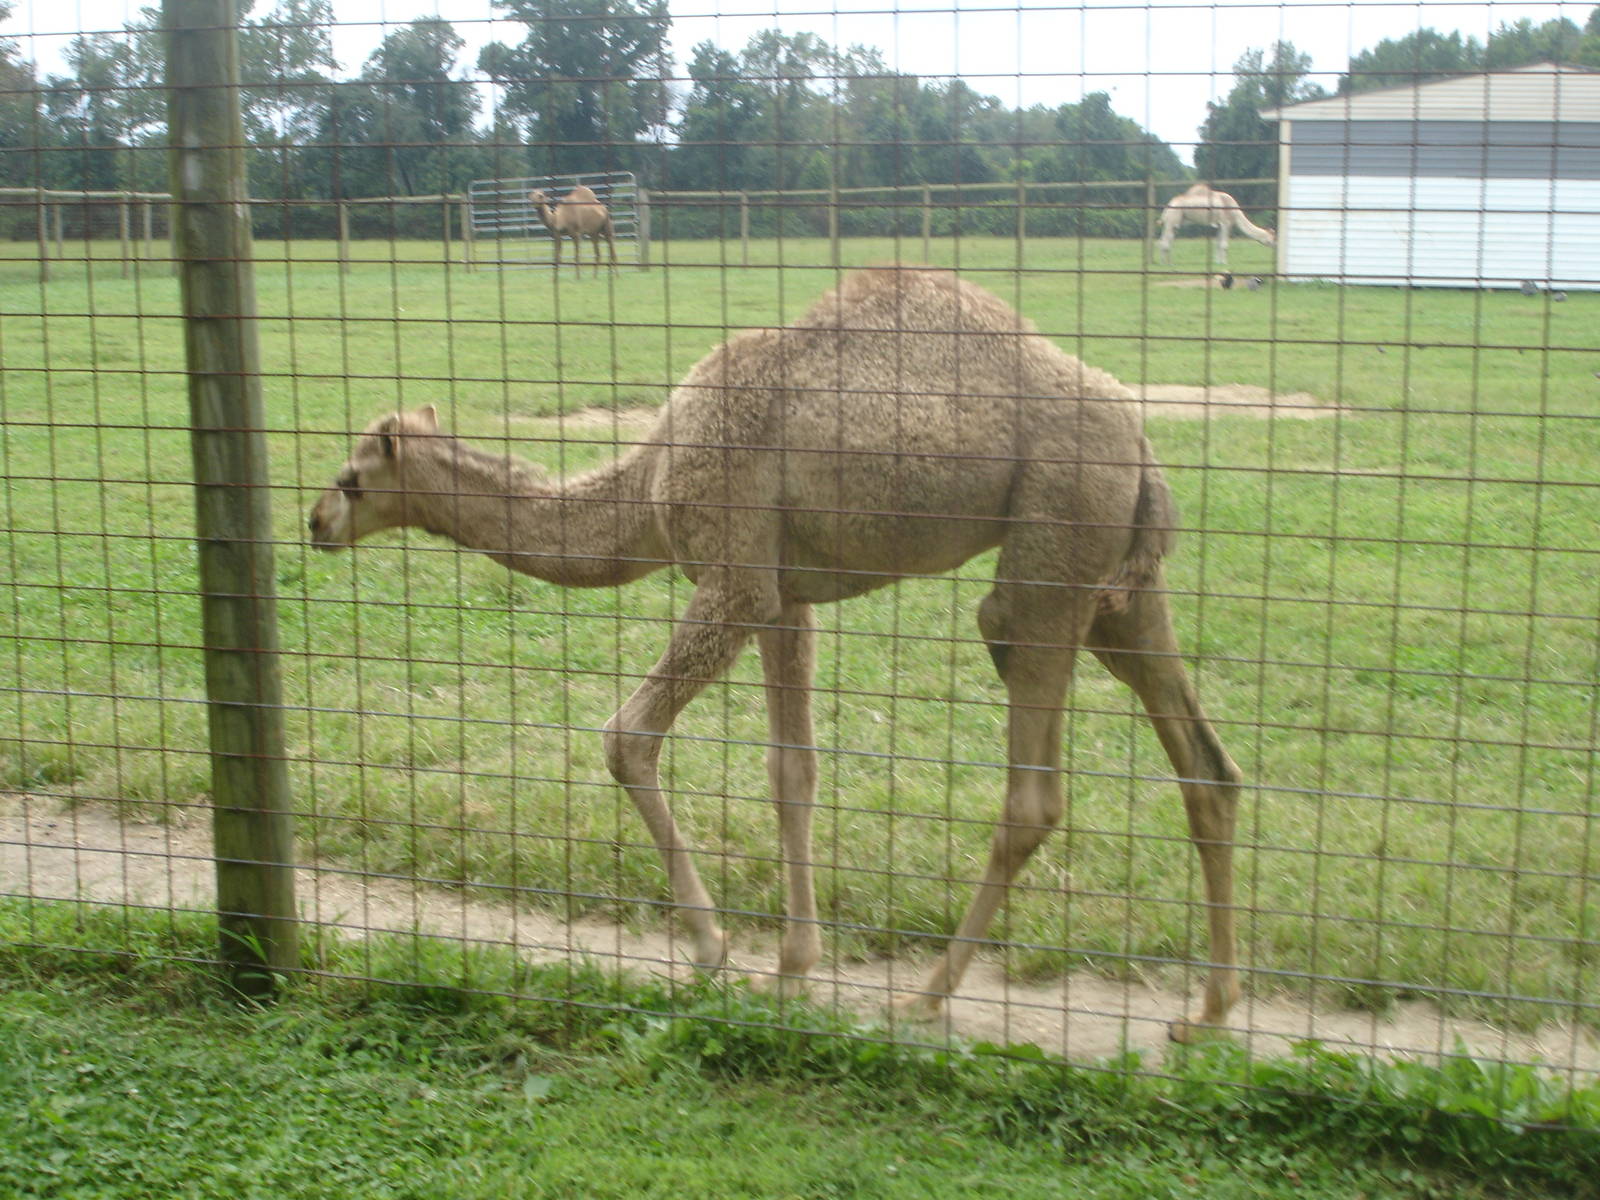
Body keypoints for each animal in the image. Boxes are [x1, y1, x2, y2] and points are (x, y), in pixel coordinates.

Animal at [307, 268, 1244, 1042]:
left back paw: (926, 996)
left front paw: (712, 948)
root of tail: (1144, 445)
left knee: (1034, 791)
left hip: (1050, 549)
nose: (315, 521)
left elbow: (626, 738)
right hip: (1116, 583)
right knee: (1207, 769)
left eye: (353, 477)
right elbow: (792, 769)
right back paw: (1206, 1013)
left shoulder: (734, 580)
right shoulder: (785, 599)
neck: (645, 489)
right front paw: (793, 967)